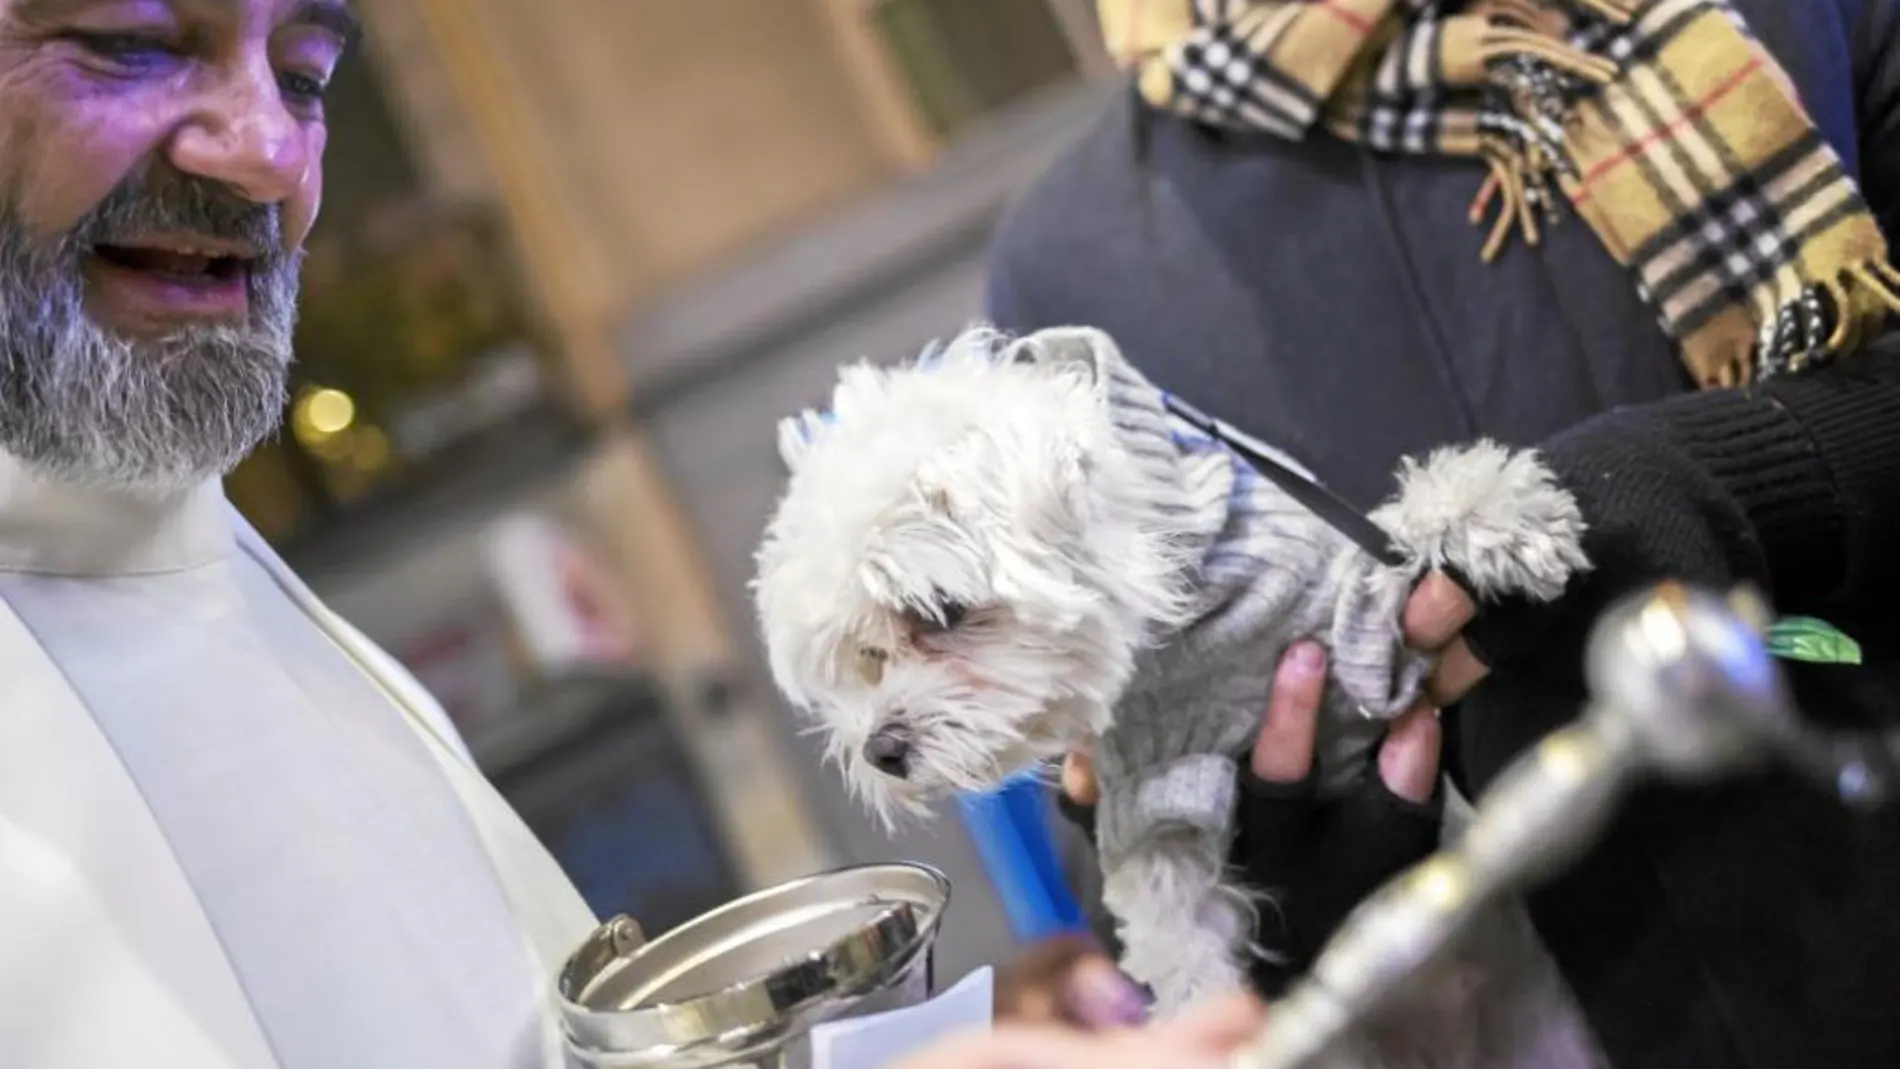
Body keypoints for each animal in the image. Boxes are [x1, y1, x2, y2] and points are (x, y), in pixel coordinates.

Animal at [748, 328, 1596, 1025]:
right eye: (865, 657)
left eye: (939, 610)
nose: (883, 750)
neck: (1179, 618)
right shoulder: (1155, 798)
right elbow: (1180, 942)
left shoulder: (1369, 624)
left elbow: (1401, 536)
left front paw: (1493, 513)